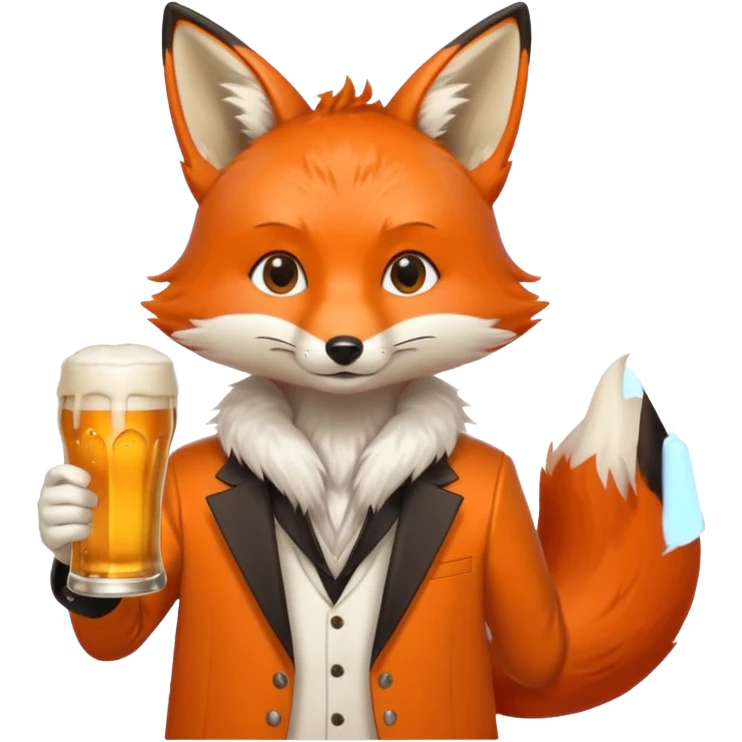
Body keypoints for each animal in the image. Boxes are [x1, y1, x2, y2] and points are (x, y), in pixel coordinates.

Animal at [37, 1, 704, 740]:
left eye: (408, 273)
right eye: (279, 273)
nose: (344, 347)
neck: (339, 440)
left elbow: (540, 653)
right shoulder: (169, 516)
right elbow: (122, 628)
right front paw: (67, 520)